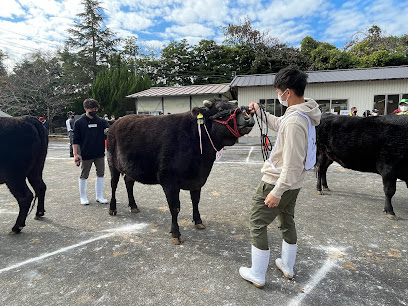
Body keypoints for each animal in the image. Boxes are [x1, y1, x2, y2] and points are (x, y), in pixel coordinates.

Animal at [107, 98, 255, 244]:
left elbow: (195, 200)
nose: (248, 116)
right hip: (112, 163)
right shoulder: (169, 181)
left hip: (130, 168)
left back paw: (133, 206)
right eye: (220, 109)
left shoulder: (197, 179)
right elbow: (175, 207)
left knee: (128, 182)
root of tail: (117, 122)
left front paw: (198, 221)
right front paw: (176, 233)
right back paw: (112, 208)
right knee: (114, 184)